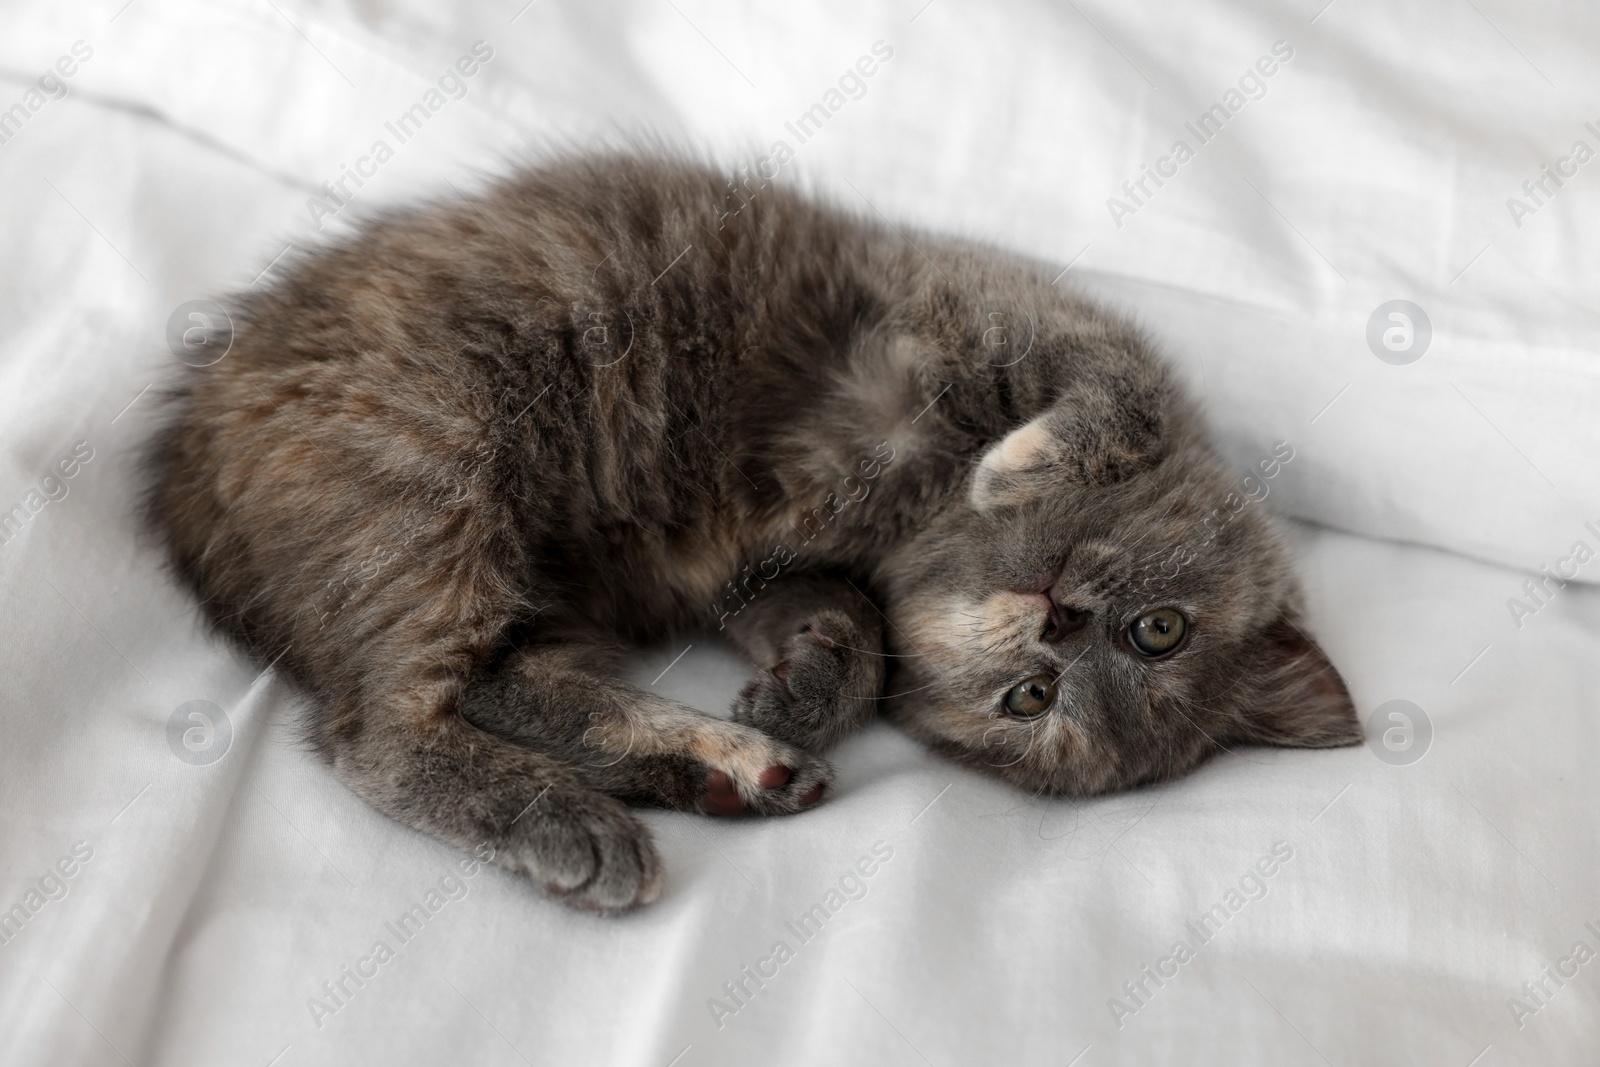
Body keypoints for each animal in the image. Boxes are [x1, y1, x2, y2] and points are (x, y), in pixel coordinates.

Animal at [144, 154, 1356, 915]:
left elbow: (856, 632)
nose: (1055, 622)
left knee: (469, 695)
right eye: (1160, 628)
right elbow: (1114, 395)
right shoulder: (997, 310)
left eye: (1032, 701)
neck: (910, 514)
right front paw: (1020, 465)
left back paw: (727, 769)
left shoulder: (751, 567)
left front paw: (805, 686)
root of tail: (182, 446)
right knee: (383, 728)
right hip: (430, 469)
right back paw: (587, 817)